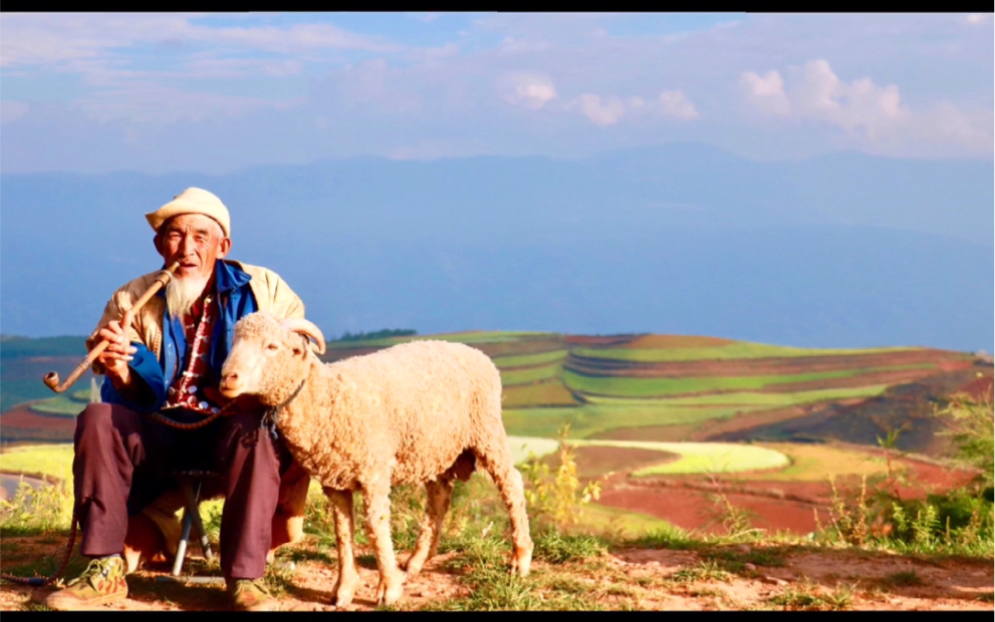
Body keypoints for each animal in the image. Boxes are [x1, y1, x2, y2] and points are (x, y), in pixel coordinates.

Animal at [215, 314, 532, 608]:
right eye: (234, 342)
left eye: (272, 346)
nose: (227, 378)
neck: (328, 398)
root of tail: (475, 352)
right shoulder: (335, 480)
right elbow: (343, 533)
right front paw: (343, 589)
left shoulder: (374, 472)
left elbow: (375, 528)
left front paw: (388, 588)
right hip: (433, 448)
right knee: (439, 498)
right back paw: (416, 561)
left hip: (486, 430)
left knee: (511, 485)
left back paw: (520, 558)